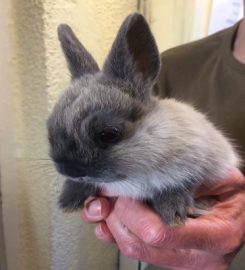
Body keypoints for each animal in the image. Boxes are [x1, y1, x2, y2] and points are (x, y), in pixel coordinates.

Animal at [47, 12, 239, 225]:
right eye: (50, 130)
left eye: (109, 134)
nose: (68, 170)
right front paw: (68, 199)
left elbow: (179, 185)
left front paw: (174, 213)